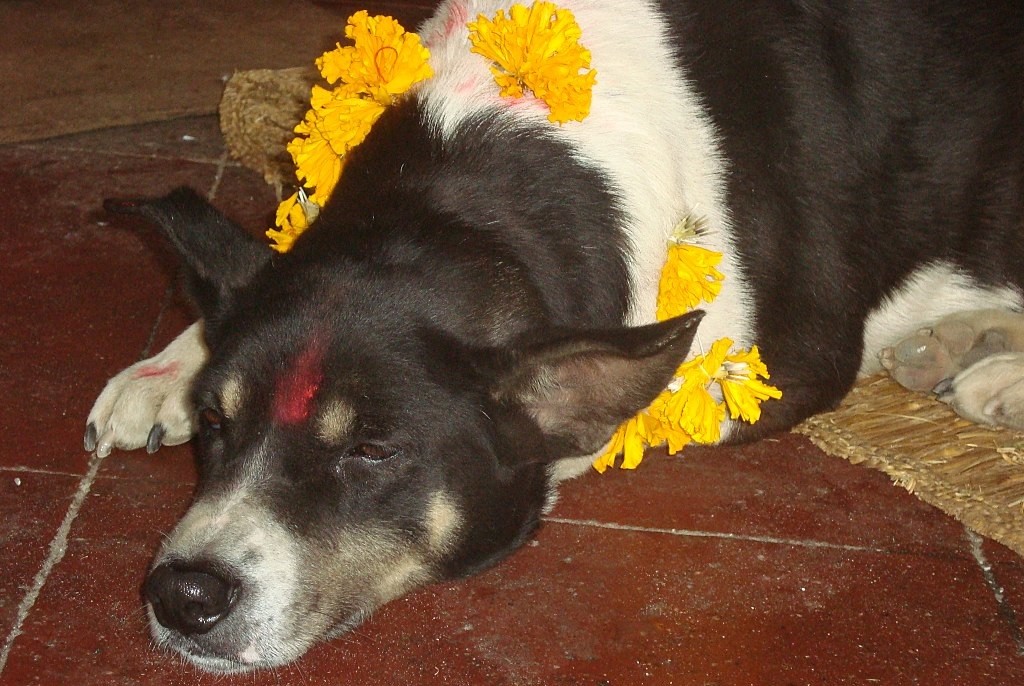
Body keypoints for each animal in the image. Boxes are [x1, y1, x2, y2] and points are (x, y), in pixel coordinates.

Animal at [81, 0, 1024, 675]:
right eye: (216, 423)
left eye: (375, 451)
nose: (182, 596)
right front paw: (163, 368)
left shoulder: (778, 366)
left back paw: (993, 374)